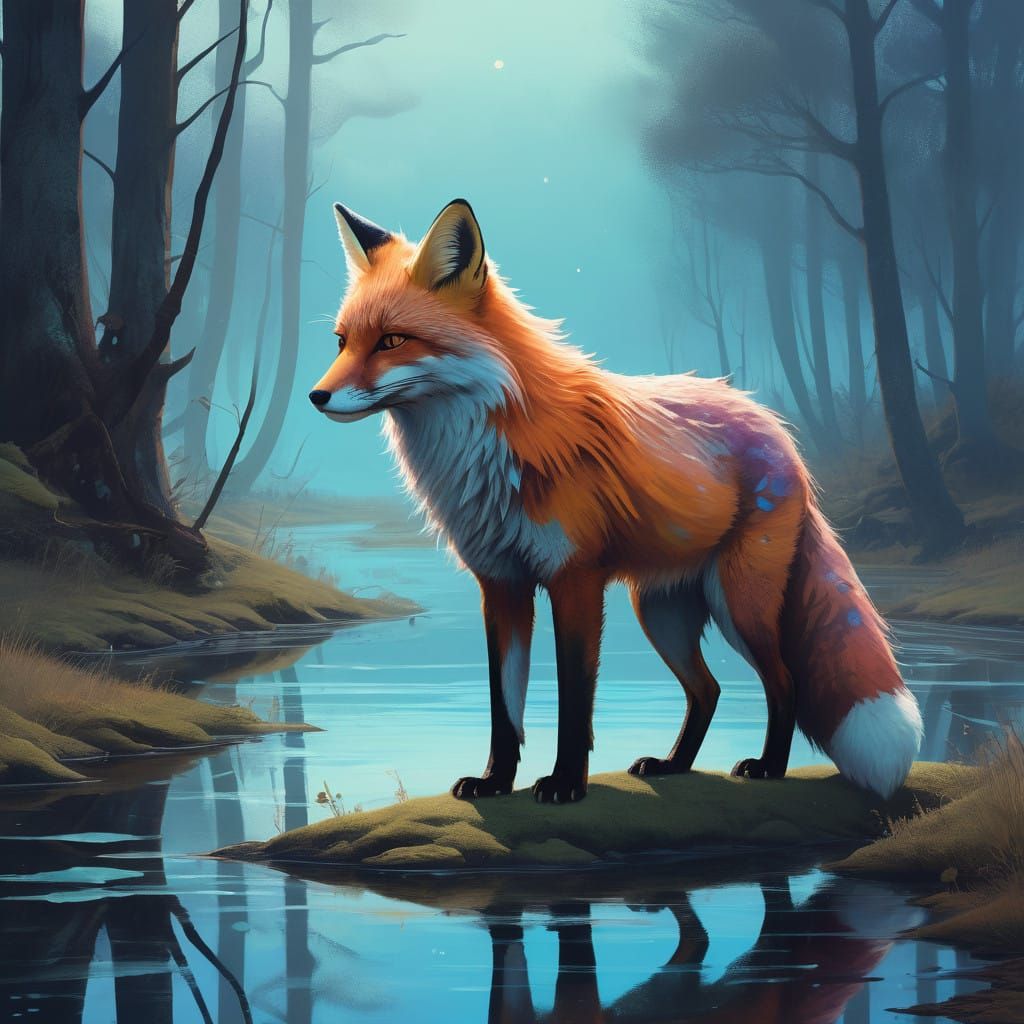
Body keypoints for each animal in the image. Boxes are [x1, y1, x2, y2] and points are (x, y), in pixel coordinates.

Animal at [309, 198, 923, 805]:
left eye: (392, 341)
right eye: (342, 342)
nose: (316, 396)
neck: (494, 449)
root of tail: (771, 423)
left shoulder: (574, 579)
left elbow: (574, 701)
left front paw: (564, 784)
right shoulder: (501, 584)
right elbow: (504, 707)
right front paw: (495, 782)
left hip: (739, 601)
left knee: (783, 679)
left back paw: (769, 766)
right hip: (660, 611)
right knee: (708, 689)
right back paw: (673, 765)